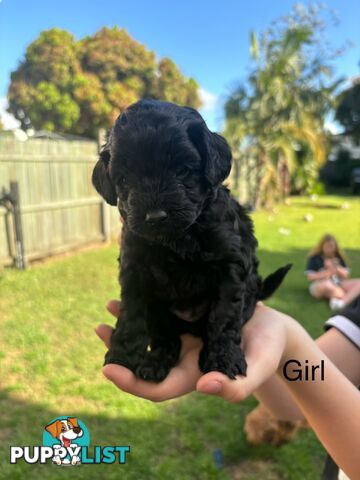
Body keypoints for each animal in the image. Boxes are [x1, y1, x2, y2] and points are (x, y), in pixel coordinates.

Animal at [91, 98, 292, 382]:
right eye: (124, 178)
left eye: (183, 170)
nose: (155, 216)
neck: (179, 238)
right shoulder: (135, 269)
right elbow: (132, 313)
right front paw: (122, 355)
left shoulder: (230, 268)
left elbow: (224, 317)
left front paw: (223, 358)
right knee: (165, 333)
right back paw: (156, 361)